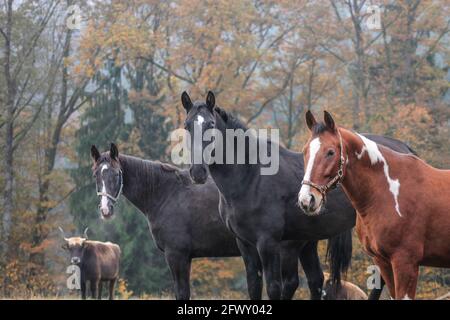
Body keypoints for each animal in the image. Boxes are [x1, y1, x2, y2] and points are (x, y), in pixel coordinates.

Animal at [90, 145, 324, 300]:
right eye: (96, 175)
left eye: (116, 174)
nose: (105, 210)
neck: (165, 193)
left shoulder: (176, 255)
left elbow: (182, 293)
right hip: (306, 246)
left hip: (287, 249)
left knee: (291, 283)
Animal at [298, 110, 450, 300]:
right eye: (305, 151)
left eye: (330, 152)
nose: (307, 199)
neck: (387, 193)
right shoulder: (383, 262)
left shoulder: (406, 262)